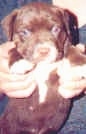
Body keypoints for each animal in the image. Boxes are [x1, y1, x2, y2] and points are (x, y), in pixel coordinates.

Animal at [0, 2, 82, 134]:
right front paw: (19, 62)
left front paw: (80, 63)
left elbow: (70, 47)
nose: (44, 51)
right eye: (25, 32)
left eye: (55, 29)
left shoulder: (65, 43)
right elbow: (13, 48)